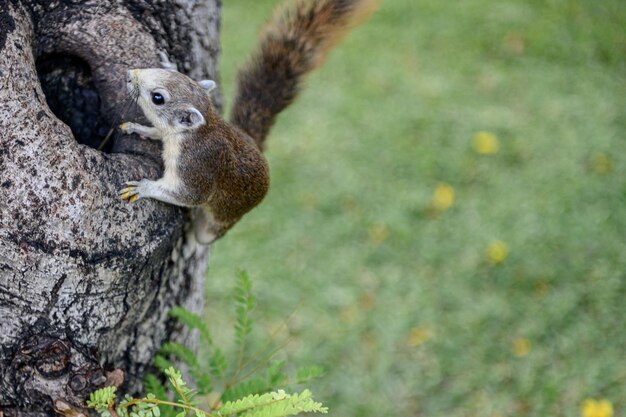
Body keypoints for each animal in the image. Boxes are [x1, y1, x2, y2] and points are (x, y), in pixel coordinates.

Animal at [119, 0, 378, 244]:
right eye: (181, 76)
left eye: (158, 98)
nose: (130, 74)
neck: (198, 131)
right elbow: (156, 131)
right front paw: (137, 128)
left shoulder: (196, 168)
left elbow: (189, 195)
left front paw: (143, 187)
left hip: (219, 223)